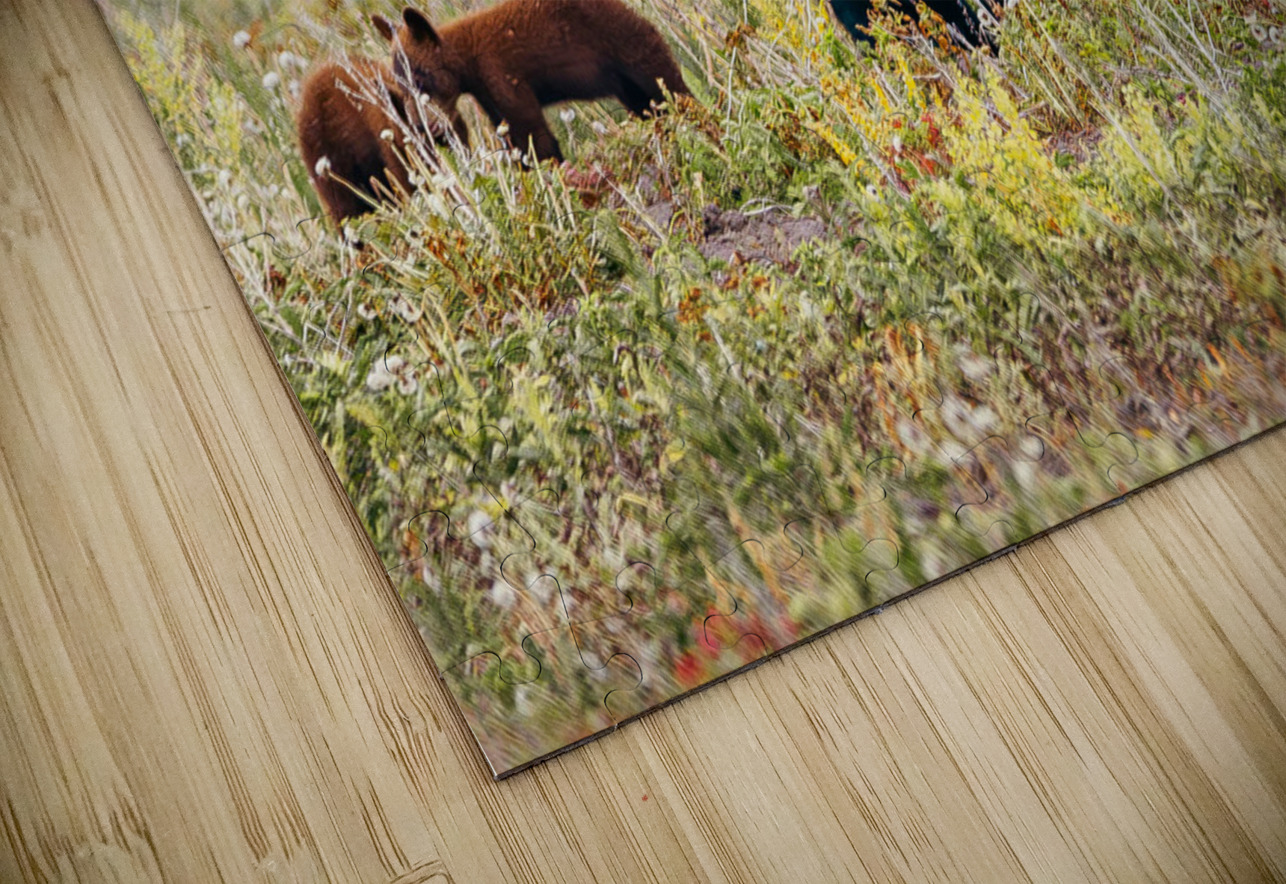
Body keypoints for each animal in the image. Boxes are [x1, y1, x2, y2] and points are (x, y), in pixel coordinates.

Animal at [373, 0, 691, 164]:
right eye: (399, 86)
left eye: (419, 79)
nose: (422, 127)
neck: (466, 59)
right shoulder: (486, 92)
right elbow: (511, 130)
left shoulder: (499, 71)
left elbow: (529, 130)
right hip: (622, 78)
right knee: (645, 104)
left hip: (625, 45)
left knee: (667, 86)